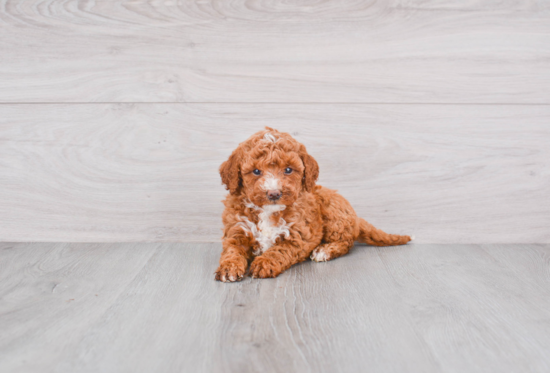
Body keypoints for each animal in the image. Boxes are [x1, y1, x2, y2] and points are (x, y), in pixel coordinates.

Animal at [217, 126, 414, 280]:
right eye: (256, 171)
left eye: (288, 170)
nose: (274, 193)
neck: (269, 211)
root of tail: (356, 219)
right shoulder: (236, 230)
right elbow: (232, 250)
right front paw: (229, 268)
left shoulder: (298, 236)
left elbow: (278, 250)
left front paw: (264, 263)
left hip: (333, 212)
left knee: (346, 242)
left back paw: (324, 250)